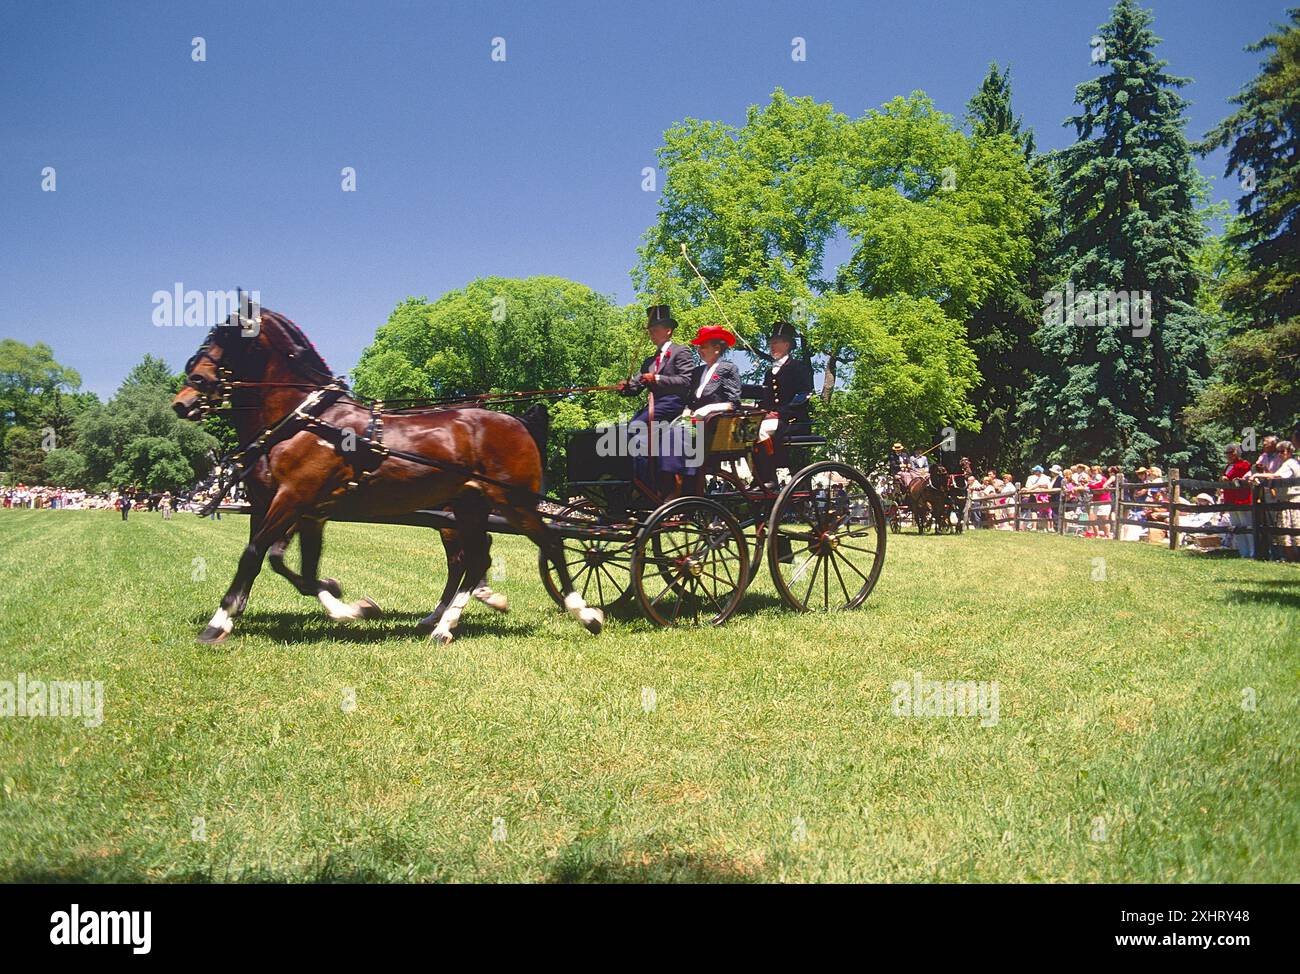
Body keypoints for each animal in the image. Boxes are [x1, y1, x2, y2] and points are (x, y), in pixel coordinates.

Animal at [167, 312, 603, 644]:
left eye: (226, 339)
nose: (184, 399)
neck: (307, 420)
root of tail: (518, 420)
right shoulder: (300, 510)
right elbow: (293, 567)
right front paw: (346, 604)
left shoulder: (292, 499)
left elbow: (255, 554)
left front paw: (218, 622)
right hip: (470, 507)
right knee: (476, 558)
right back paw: (443, 625)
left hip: (514, 502)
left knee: (550, 543)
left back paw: (585, 613)